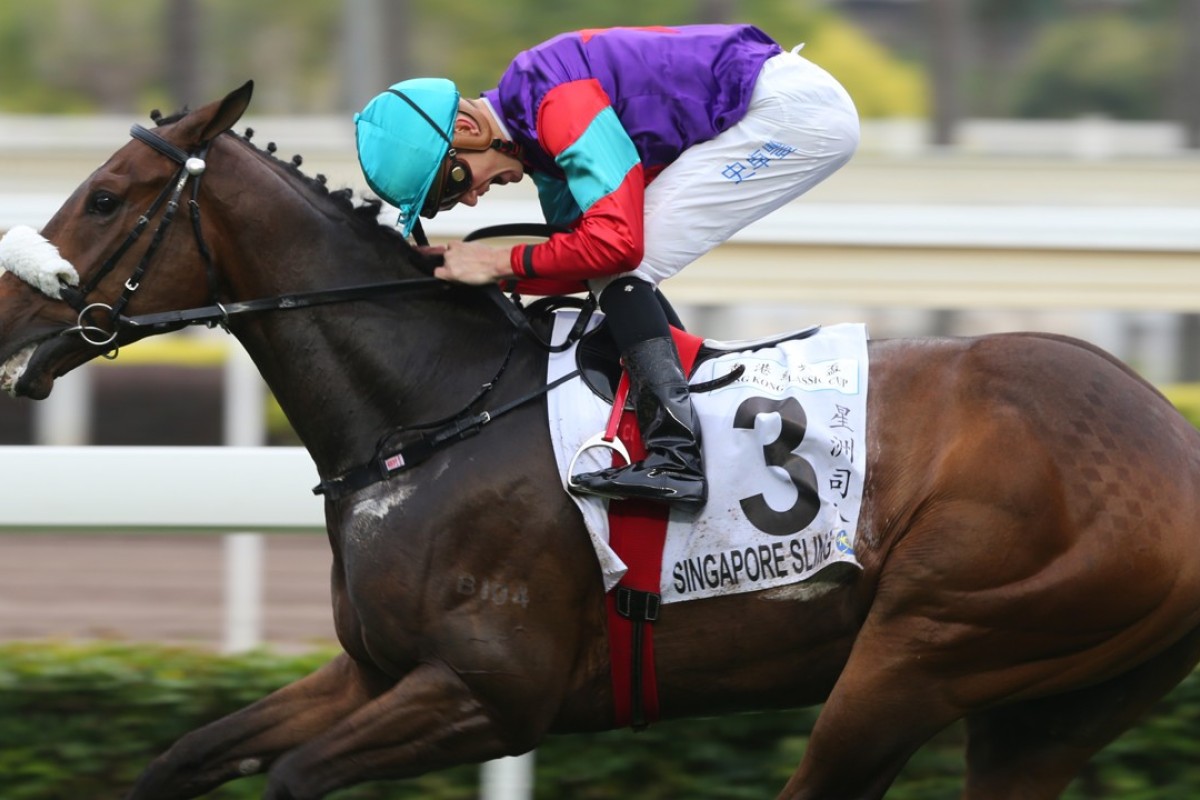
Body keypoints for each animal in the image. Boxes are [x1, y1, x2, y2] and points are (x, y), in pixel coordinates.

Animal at [2, 79, 1200, 800]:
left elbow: (293, 775)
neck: (436, 409)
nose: (9, 318)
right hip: (1041, 709)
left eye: (104, 197)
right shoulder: (375, 669)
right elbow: (180, 756)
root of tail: (1173, 437)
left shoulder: (493, 693)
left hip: (922, 650)